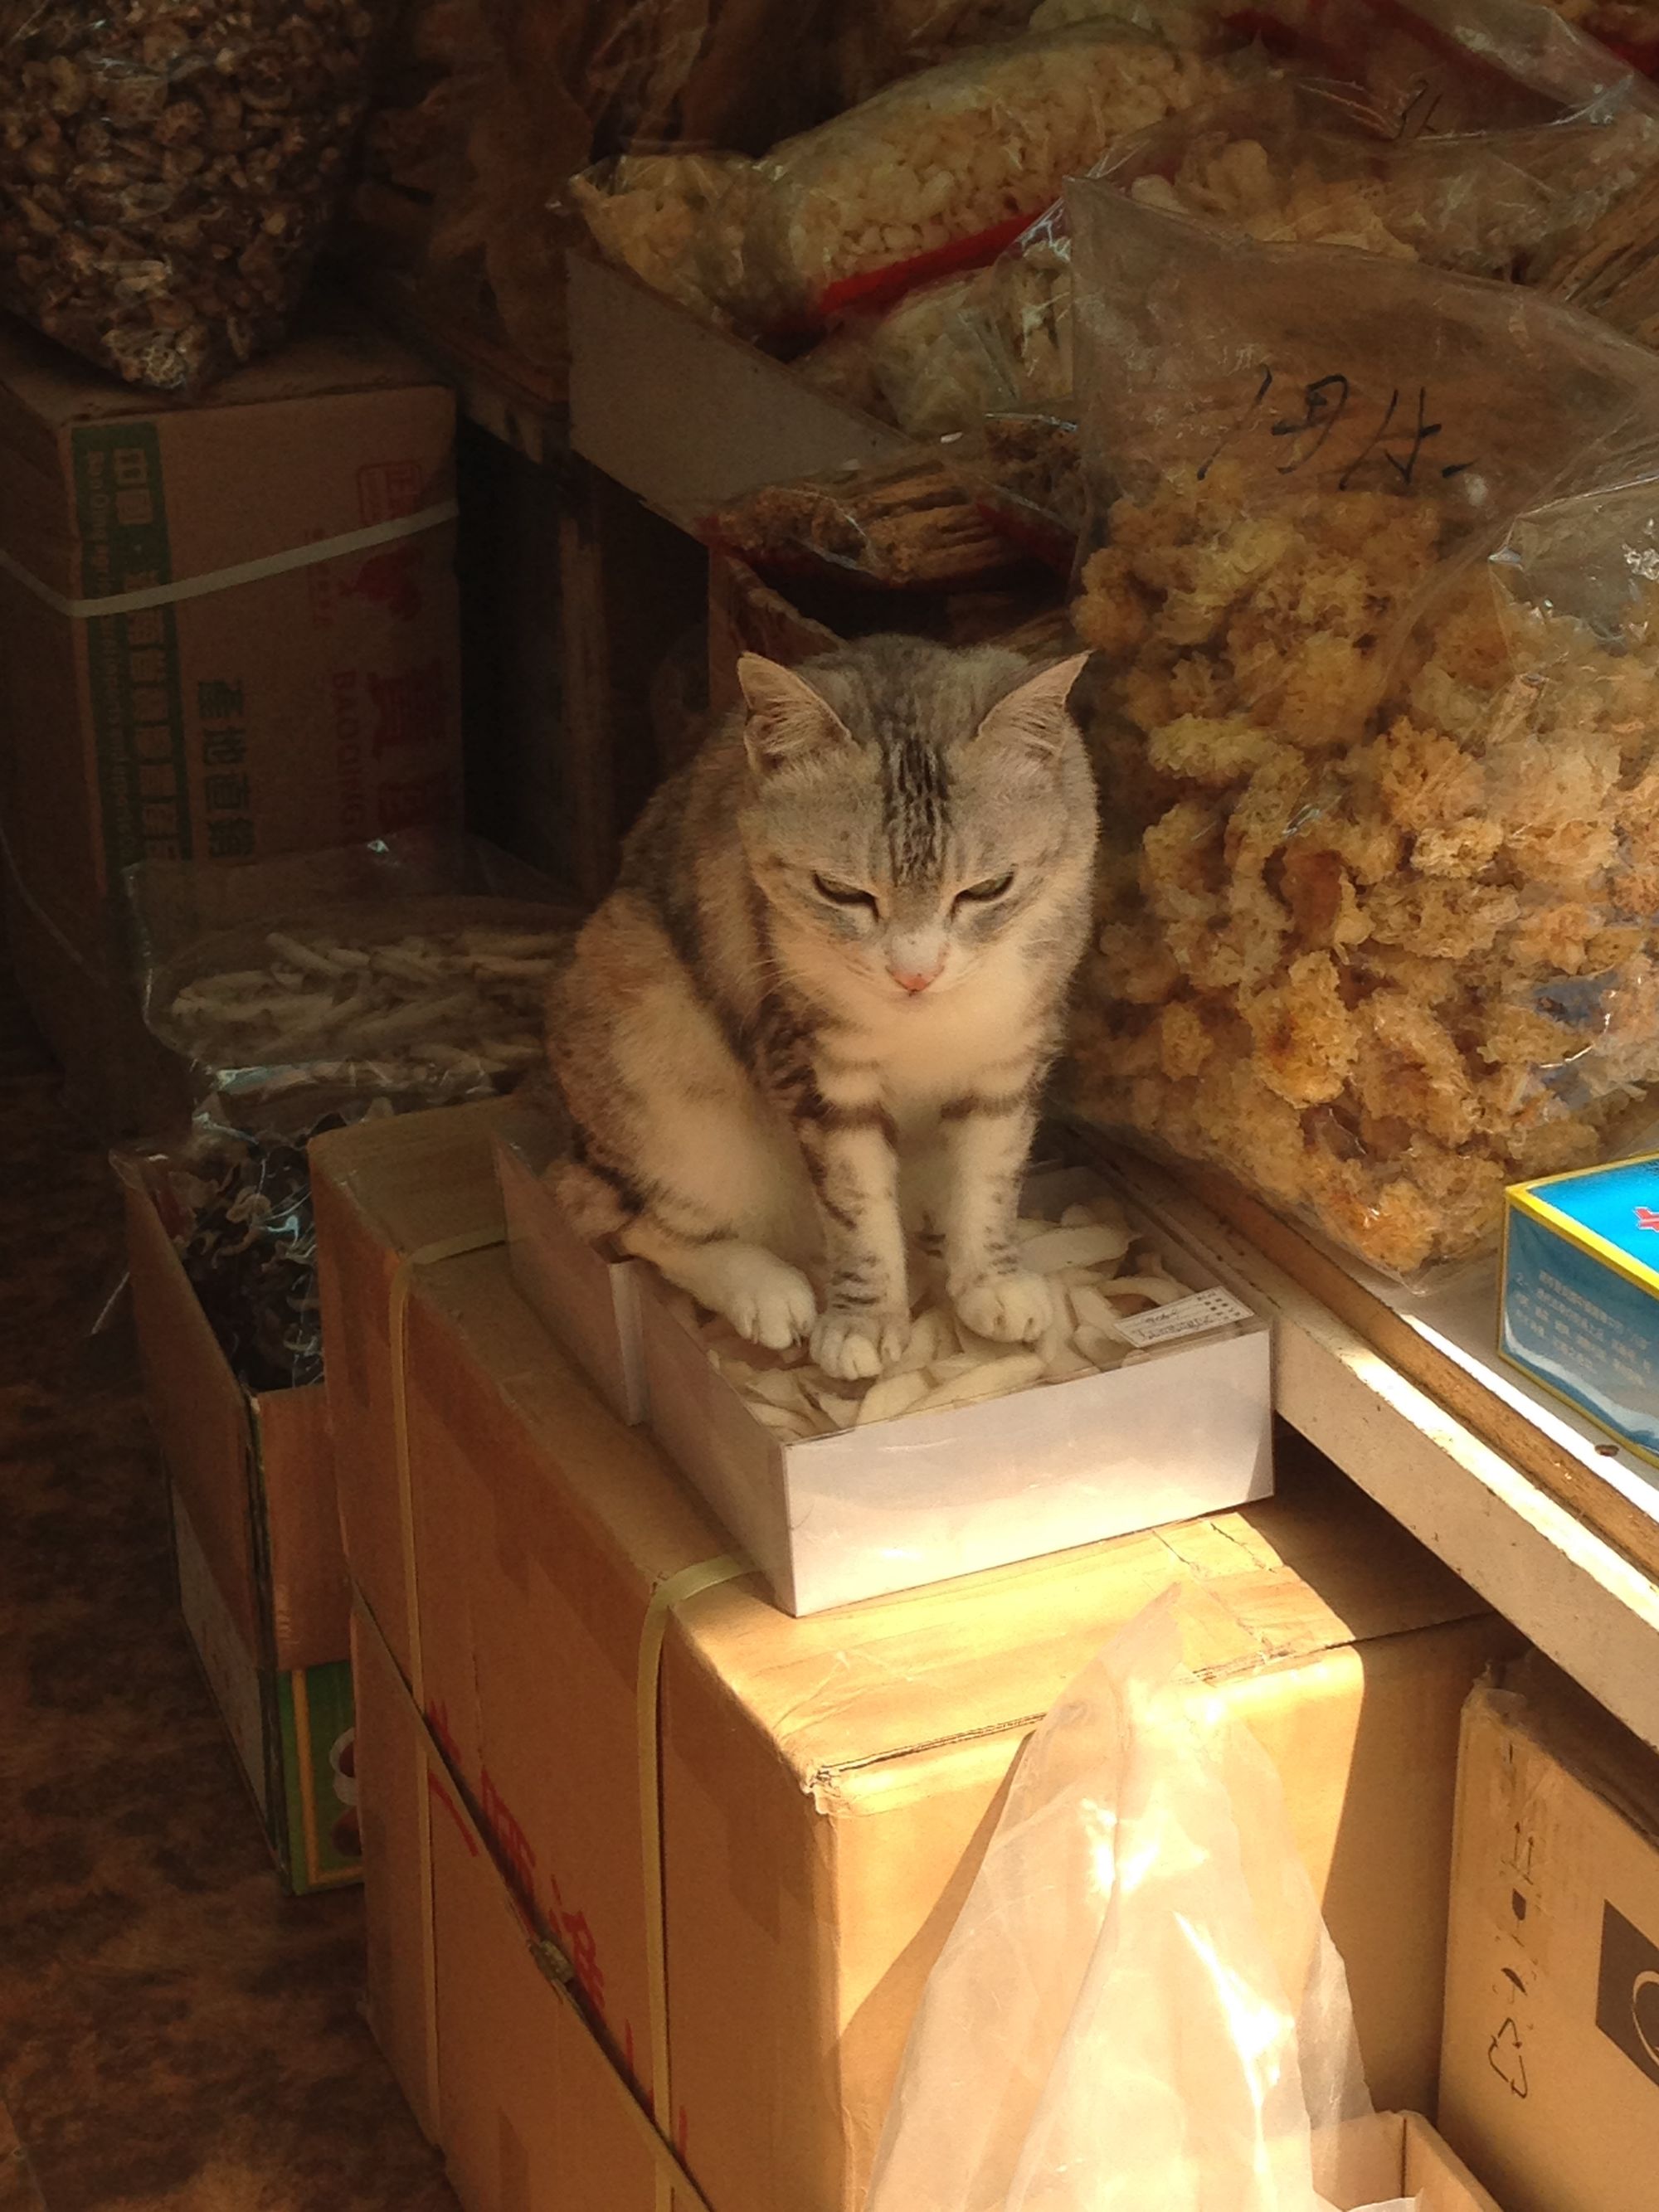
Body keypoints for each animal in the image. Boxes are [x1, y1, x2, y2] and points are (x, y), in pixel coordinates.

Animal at [552, 628, 1106, 1380]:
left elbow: (990, 1174)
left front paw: (988, 1282)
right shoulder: (819, 1071)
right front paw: (864, 1322)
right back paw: (764, 1289)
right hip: (646, 1037)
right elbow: (856, 1204)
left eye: (987, 888)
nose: (915, 973)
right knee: (631, 1218)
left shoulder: (1009, 1056)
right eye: (841, 891)